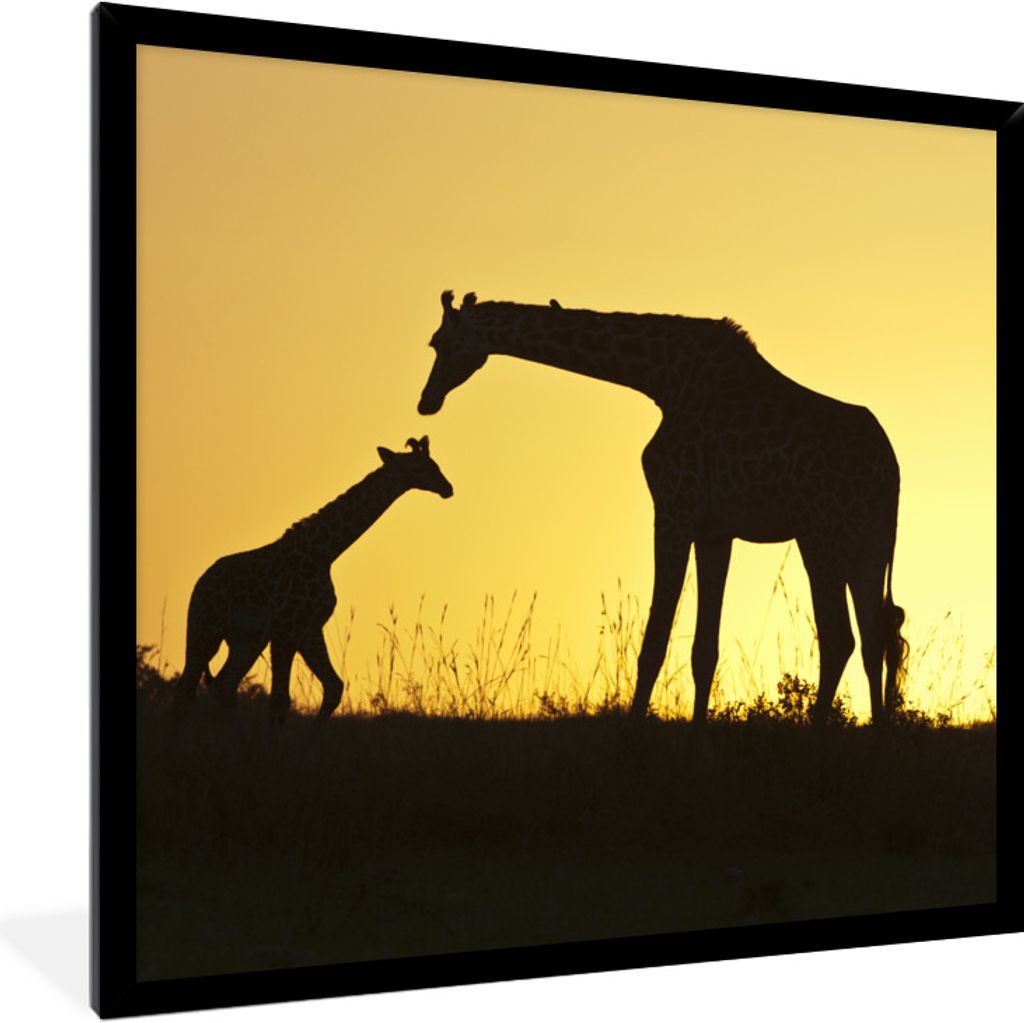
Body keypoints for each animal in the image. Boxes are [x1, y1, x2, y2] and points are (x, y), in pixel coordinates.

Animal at [177, 437, 454, 721]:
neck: (323, 554)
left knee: (224, 684)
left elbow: (333, 687)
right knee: (187, 688)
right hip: (204, 627)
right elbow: (279, 700)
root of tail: (201, 582)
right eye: (418, 469)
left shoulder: (308, 628)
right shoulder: (285, 629)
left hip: (246, 639)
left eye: (435, 464)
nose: (447, 488)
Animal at [418, 291, 908, 726]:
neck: (661, 377)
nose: (427, 401)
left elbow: (654, 641)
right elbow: (704, 649)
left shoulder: (673, 511)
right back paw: (878, 736)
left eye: (437, 342)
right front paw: (694, 743)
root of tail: (891, 470)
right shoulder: (715, 530)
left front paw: (633, 737)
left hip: (822, 534)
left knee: (841, 635)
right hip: (868, 540)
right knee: (873, 636)